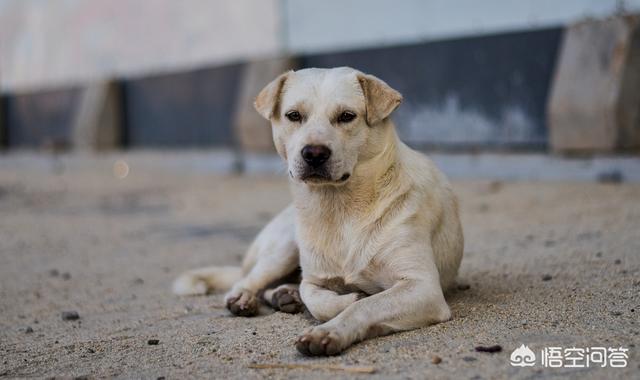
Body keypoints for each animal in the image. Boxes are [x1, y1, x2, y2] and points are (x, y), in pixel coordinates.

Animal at [174, 67, 464, 356]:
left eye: (346, 116)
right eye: (294, 115)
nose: (314, 153)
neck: (340, 208)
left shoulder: (422, 287)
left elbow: (366, 305)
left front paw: (329, 331)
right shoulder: (313, 279)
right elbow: (317, 299)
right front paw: (344, 299)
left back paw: (283, 295)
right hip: (284, 247)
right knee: (249, 280)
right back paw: (248, 297)